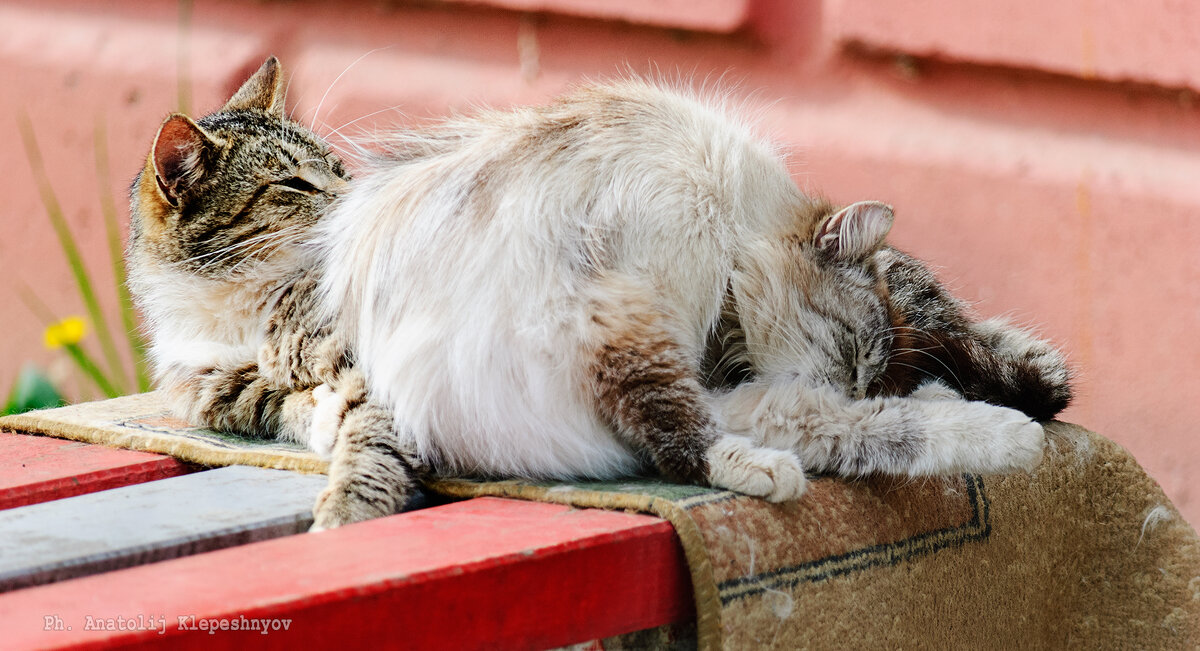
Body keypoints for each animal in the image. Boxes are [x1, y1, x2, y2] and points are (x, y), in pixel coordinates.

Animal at [129, 58, 1070, 533]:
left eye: (329, 170)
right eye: (295, 184)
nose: (857, 380)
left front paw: (989, 407)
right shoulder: (632, 315)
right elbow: (848, 429)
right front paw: (994, 433)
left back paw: (1033, 373)